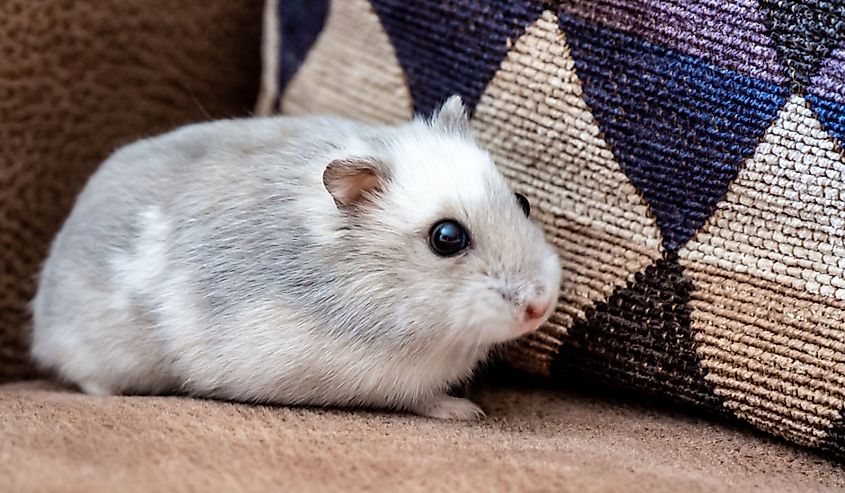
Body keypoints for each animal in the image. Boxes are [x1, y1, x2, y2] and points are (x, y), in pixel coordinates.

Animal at [29, 97, 560, 418]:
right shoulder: (372, 376)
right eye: (446, 237)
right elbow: (421, 397)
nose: (539, 307)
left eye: (523, 202)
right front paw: (465, 412)